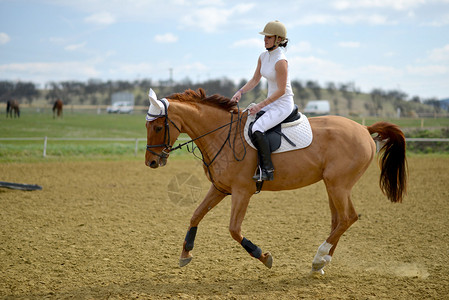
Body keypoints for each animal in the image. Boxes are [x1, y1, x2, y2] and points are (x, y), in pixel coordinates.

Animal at [144, 88, 406, 276]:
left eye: (157, 127)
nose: (151, 162)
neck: (221, 135)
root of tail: (363, 128)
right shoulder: (219, 188)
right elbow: (196, 215)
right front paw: (185, 254)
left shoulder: (242, 192)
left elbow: (234, 230)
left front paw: (263, 256)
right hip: (332, 186)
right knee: (339, 220)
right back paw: (321, 262)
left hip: (338, 185)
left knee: (348, 218)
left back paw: (319, 257)